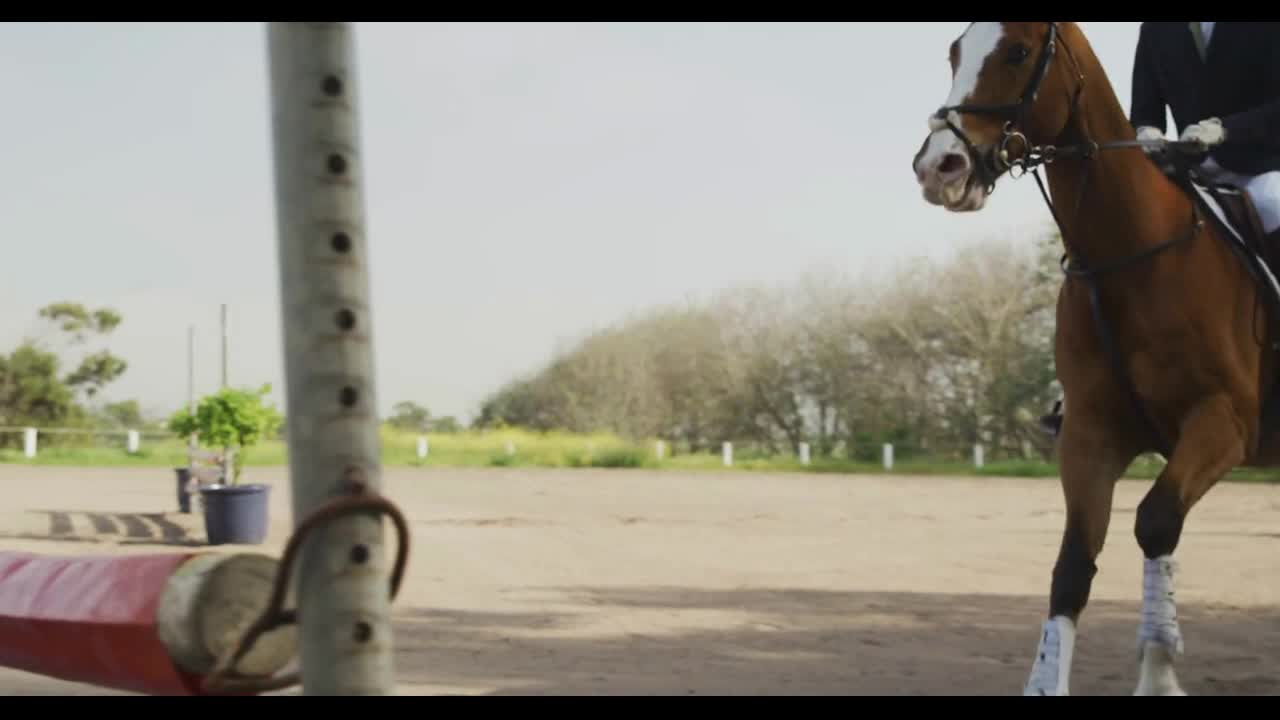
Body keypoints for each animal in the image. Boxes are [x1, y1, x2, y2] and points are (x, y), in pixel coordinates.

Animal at [911, 22, 1280, 691]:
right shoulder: (1090, 432)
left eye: (1017, 52)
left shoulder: (1223, 422)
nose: (938, 167)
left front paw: (1159, 664)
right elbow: (1074, 565)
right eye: (954, 52)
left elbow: (1155, 522)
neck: (1133, 256)